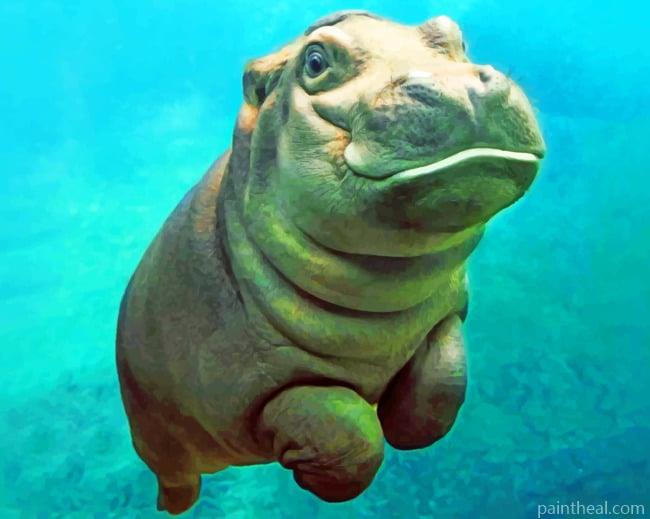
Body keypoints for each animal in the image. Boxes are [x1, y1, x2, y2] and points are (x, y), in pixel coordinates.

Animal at [116, 10, 544, 515]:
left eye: (455, 36)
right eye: (316, 61)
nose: (461, 85)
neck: (381, 295)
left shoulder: (445, 314)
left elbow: (444, 378)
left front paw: (406, 427)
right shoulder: (246, 386)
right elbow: (347, 429)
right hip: (155, 435)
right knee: (176, 474)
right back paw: (174, 506)